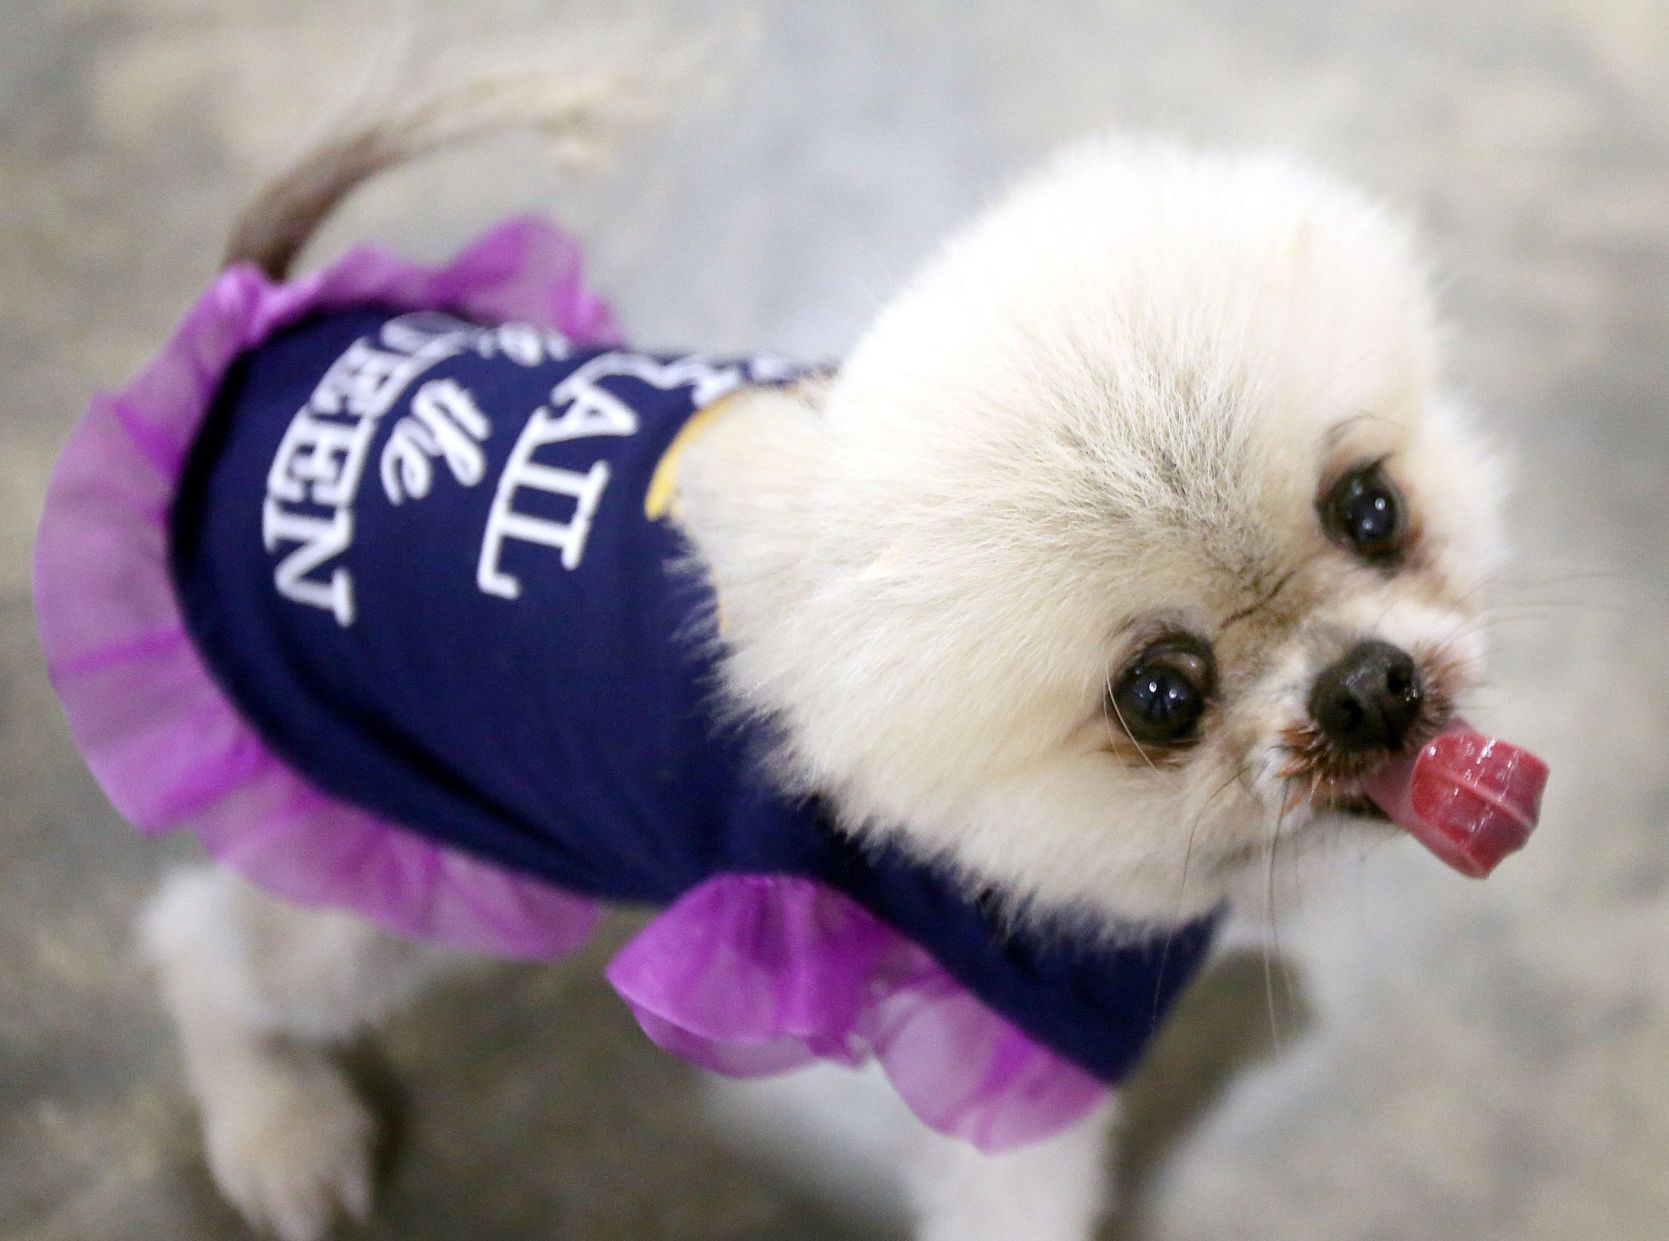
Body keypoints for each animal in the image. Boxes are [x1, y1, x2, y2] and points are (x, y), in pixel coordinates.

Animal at [42, 50, 1548, 1241]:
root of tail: (257, 333)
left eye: (1369, 507)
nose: (1367, 689)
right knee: (199, 944)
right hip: (391, 858)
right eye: (1160, 694)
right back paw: (273, 1126)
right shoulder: (1008, 1051)